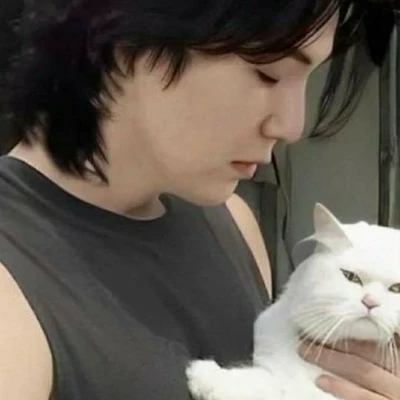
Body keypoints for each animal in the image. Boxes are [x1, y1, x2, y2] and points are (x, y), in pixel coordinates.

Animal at [186, 203, 400, 400]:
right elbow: (260, 381)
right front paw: (204, 377)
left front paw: (205, 375)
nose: (371, 302)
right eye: (351, 277)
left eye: (396, 288)